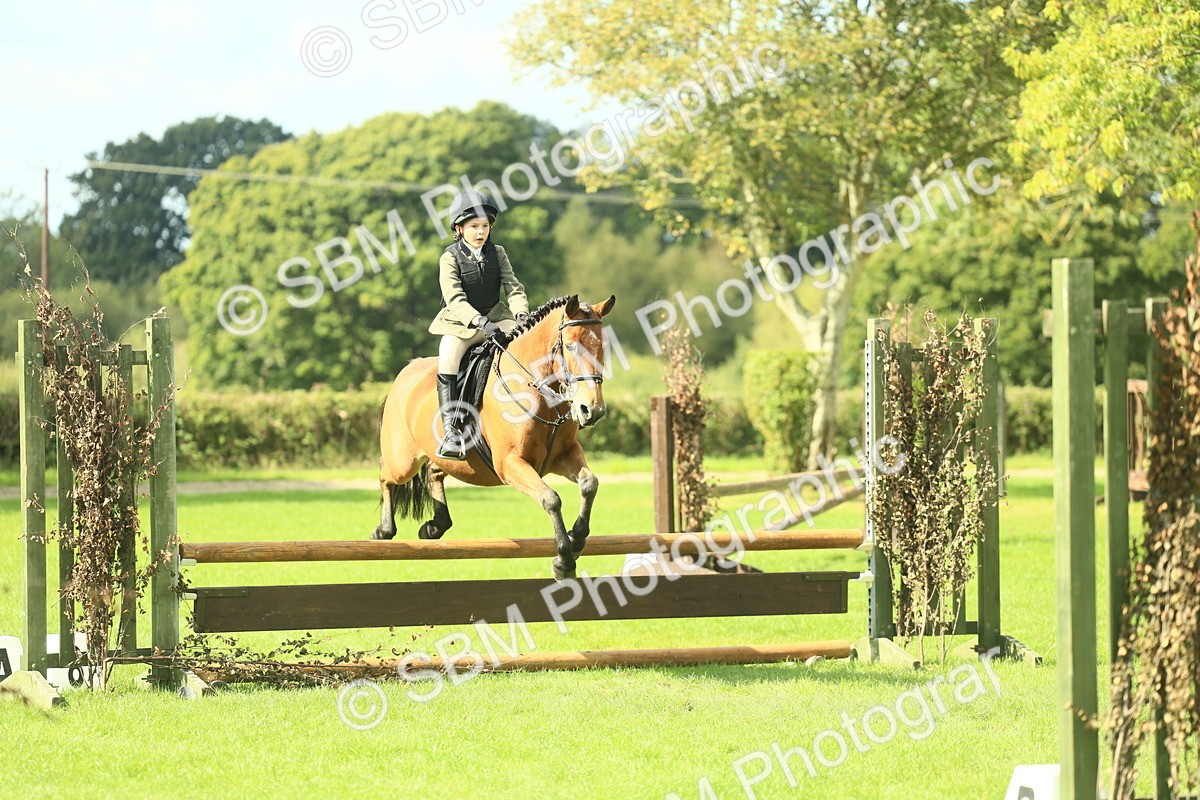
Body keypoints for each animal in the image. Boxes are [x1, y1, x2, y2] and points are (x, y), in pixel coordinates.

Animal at [374, 293, 616, 579]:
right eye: (570, 347)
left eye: (603, 349)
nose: (592, 410)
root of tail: (407, 370)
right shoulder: (510, 464)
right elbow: (551, 499)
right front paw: (564, 561)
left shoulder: (564, 456)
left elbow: (590, 484)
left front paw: (576, 539)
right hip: (404, 461)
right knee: (386, 475)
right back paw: (383, 530)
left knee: (434, 471)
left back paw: (434, 527)